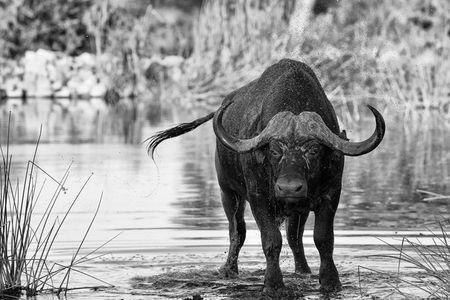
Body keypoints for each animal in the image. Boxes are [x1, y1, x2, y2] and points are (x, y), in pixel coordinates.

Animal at [146, 58, 384, 296]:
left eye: (314, 150)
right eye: (274, 150)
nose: (289, 188)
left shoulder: (330, 195)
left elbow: (323, 239)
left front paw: (330, 282)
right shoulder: (259, 199)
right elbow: (271, 240)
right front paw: (273, 284)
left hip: (297, 209)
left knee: (294, 238)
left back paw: (303, 272)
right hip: (228, 192)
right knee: (237, 232)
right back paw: (229, 270)